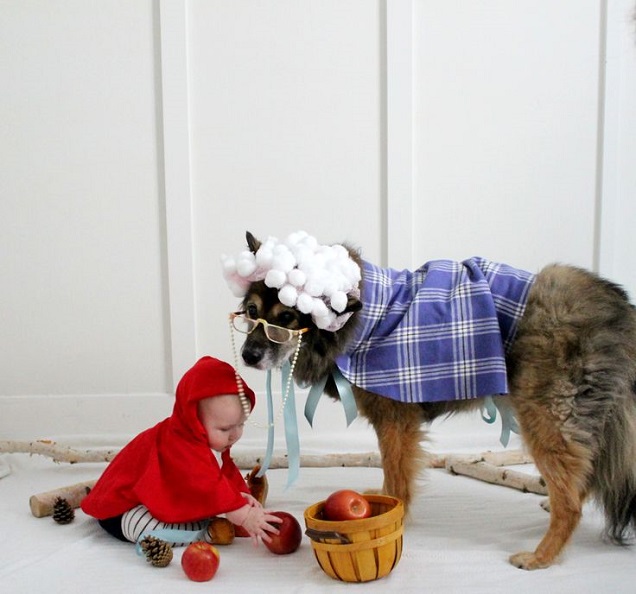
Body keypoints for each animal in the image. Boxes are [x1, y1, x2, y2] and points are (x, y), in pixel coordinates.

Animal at [232, 229, 636, 568]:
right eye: (251, 312)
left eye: (287, 317)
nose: (248, 356)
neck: (361, 320)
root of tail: (618, 312)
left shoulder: (395, 423)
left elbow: (397, 477)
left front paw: (393, 514)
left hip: (545, 418)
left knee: (572, 502)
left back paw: (541, 555)